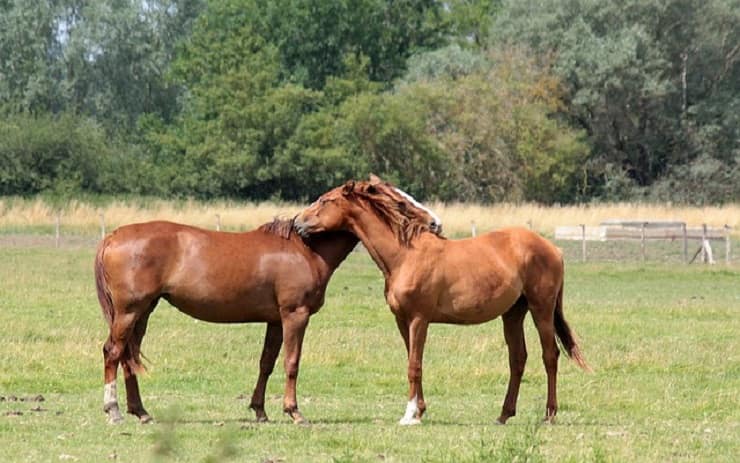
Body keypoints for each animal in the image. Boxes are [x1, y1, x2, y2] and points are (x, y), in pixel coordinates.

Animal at [94, 218, 360, 425]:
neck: (305, 250)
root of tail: (113, 236)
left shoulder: (275, 321)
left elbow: (266, 363)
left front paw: (260, 411)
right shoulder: (295, 316)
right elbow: (291, 362)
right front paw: (294, 412)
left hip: (142, 313)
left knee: (128, 357)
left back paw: (141, 412)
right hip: (129, 312)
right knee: (113, 352)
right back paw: (113, 410)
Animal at [294, 176, 591, 425]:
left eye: (325, 201)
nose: (297, 222)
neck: (405, 256)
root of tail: (553, 248)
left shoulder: (419, 319)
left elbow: (414, 365)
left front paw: (410, 416)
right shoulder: (402, 321)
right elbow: (414, 361)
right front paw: (418, 410)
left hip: (541, 309)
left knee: (550, 356)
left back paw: (549, 415)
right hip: (513, 313)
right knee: (518, 358)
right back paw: (503, 415)